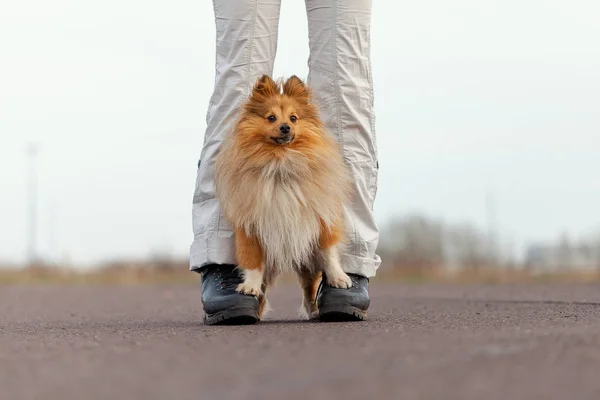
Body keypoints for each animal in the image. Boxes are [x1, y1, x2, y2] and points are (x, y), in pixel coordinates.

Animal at [216, 74, 352, 318]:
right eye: (271, 118)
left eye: (293, 118)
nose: (285, 127)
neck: (281, 163)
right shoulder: (250, 227)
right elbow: (252, 261)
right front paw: (249, 286)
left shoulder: (321, 220)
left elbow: (329, 252)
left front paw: (339, 278)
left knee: (310, 286)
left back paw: (314, 309)